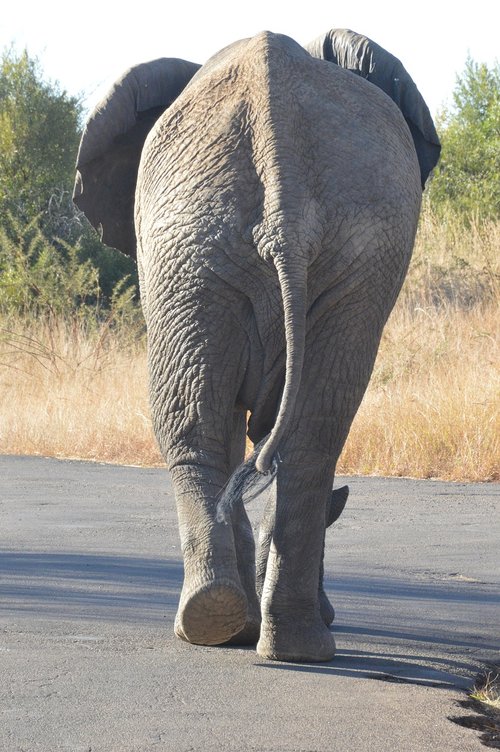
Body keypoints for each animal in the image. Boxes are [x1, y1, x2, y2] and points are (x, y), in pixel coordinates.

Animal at [72, 32, 440, 660]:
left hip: (212, 246)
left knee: (216, 424)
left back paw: (235, 630)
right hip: (220, 245)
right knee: (289, 432)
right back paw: (263, 635)